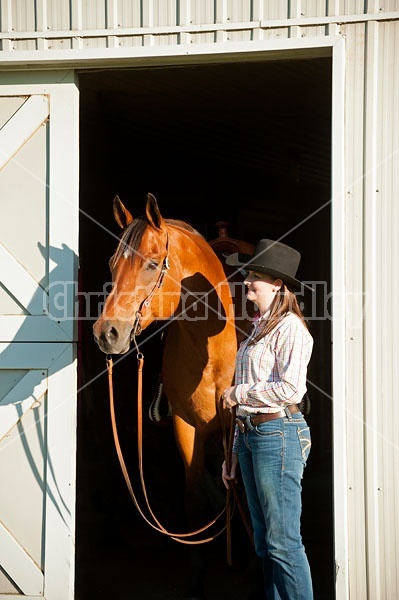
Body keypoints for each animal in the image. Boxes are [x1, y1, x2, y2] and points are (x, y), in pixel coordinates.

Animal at [93, 195, 253, 596]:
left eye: (152, 264)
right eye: (112, 263)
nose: (106, 332)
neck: (213, 350)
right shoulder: (187, 428)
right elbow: (194, 501)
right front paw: (197, 580)